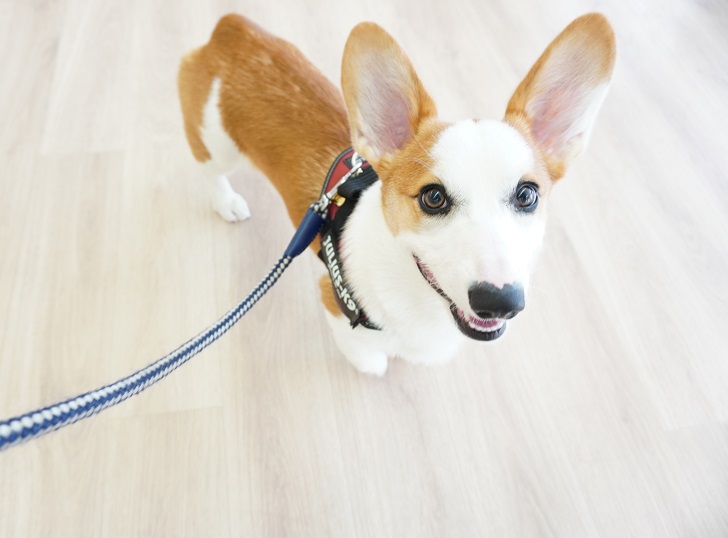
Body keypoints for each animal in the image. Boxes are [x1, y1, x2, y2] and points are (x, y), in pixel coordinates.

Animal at [178, 13, 615, 375]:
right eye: (432, 198)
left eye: (527, 196)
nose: (500, 301)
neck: (420, 293)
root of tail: (232, 29)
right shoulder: (333, 304)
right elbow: (372, 360)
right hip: (217, 146)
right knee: (208, 169)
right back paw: (227, 201)